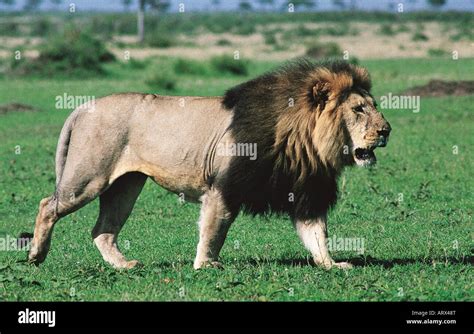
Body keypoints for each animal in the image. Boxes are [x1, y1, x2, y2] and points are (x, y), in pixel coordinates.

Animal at [30, 59, 392, 268]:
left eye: (372, 105)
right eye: (358, 109)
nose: (386, 130)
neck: (303, 141)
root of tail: (83, 107)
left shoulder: (306, 192)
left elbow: (317, 234)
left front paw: (332, 264)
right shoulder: (224, 186)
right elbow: (215, 228)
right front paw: (206, 265)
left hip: (125, 185)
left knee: (102, 231)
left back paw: (124, 266)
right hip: (89, 176)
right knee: (48, 204)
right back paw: (36, 255)